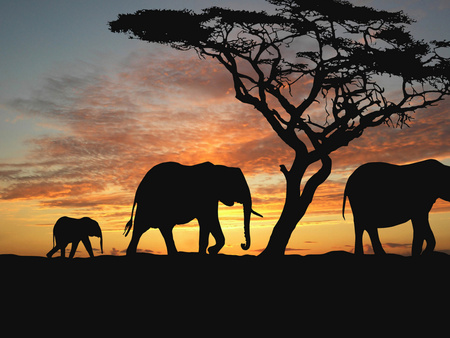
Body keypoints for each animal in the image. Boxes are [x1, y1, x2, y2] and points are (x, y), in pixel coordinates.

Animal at [125, 162, 262, 255]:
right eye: (238, 186)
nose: (242, 244)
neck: (220, 168)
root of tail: (139, 188)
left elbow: (208, 222)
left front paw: (209, 251)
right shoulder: (207, 197)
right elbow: (209, 220)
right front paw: (210, 250)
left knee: (162, 228)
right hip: (149, 204)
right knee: (141, 228)